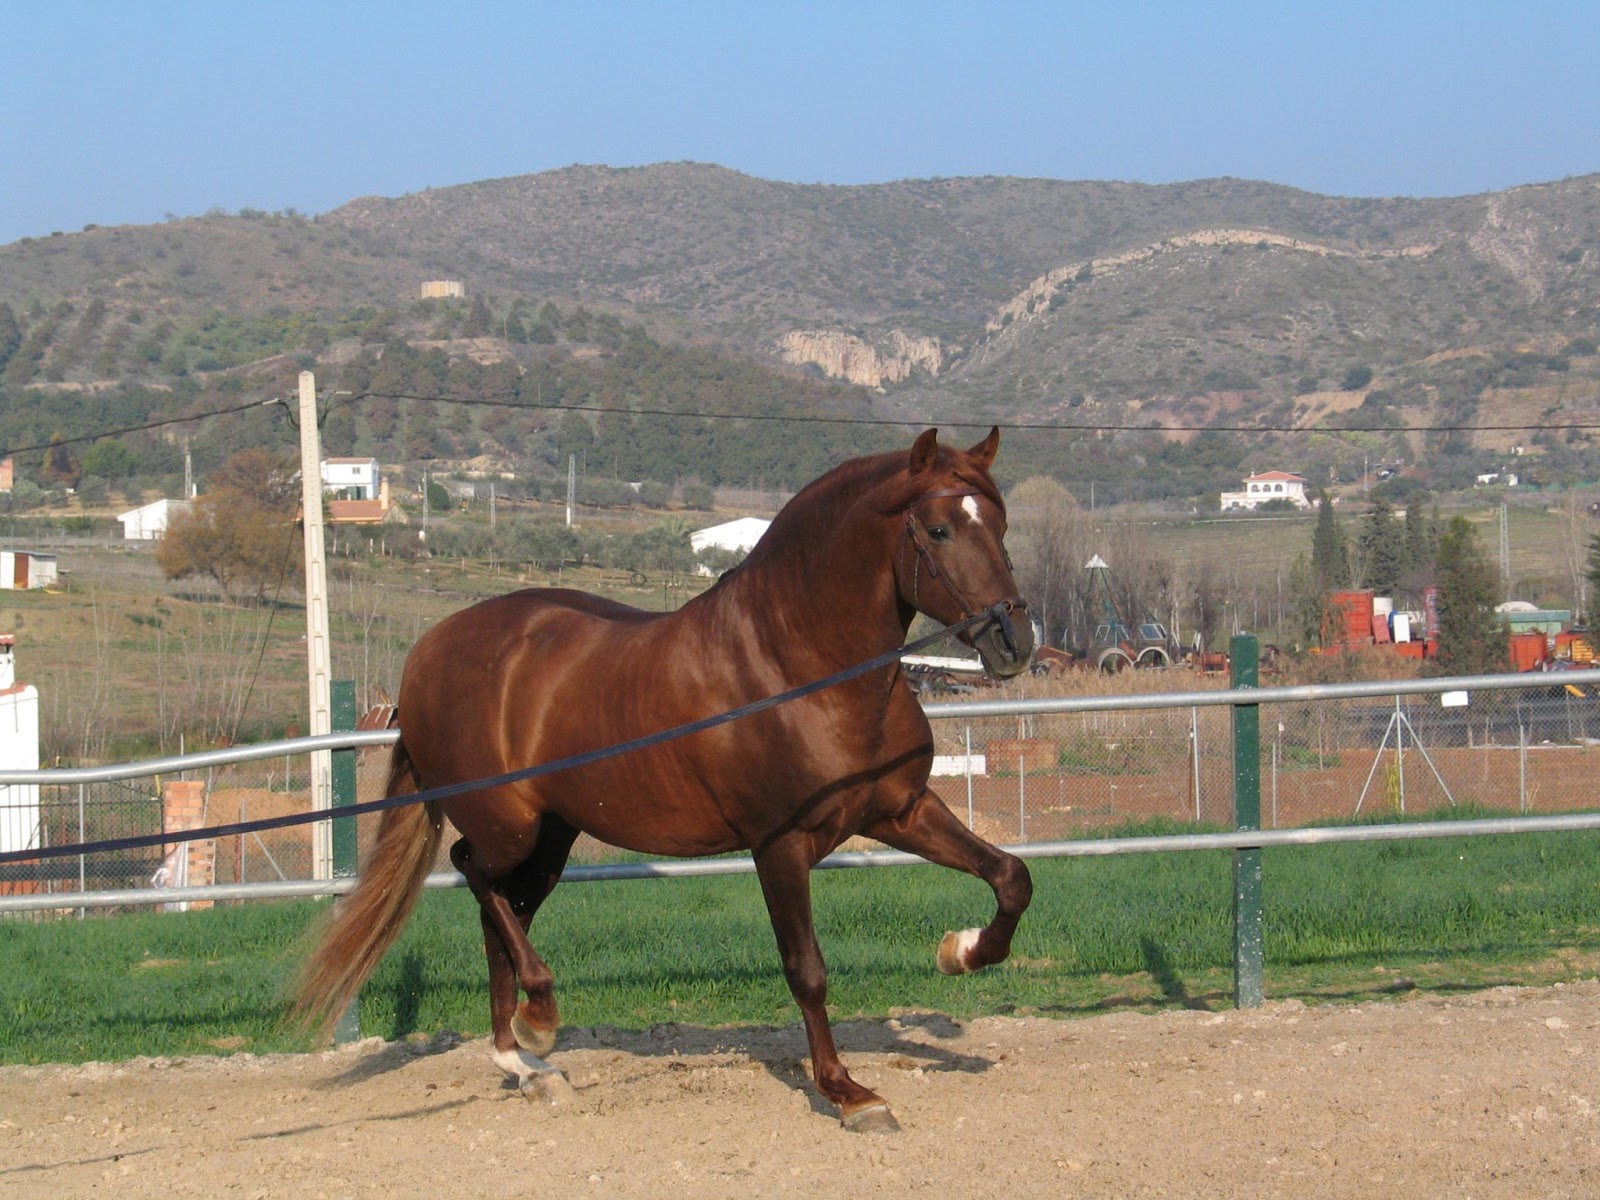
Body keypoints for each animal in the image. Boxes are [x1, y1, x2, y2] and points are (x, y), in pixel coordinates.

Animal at [294, 427, 1036, 1133]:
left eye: (1000, 525)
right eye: (937, 529)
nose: (1015, 642)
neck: (797, 665)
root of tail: (427, 655)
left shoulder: (900, 811)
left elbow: (1011, 877)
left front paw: (961, 952)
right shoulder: (780, 845)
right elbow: (807, 970)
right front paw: (849, 1094)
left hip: (552, 841)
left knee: (502, 909)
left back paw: (525, 1062)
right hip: (507, 827)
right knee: (473, 873)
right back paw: (539, 1018)